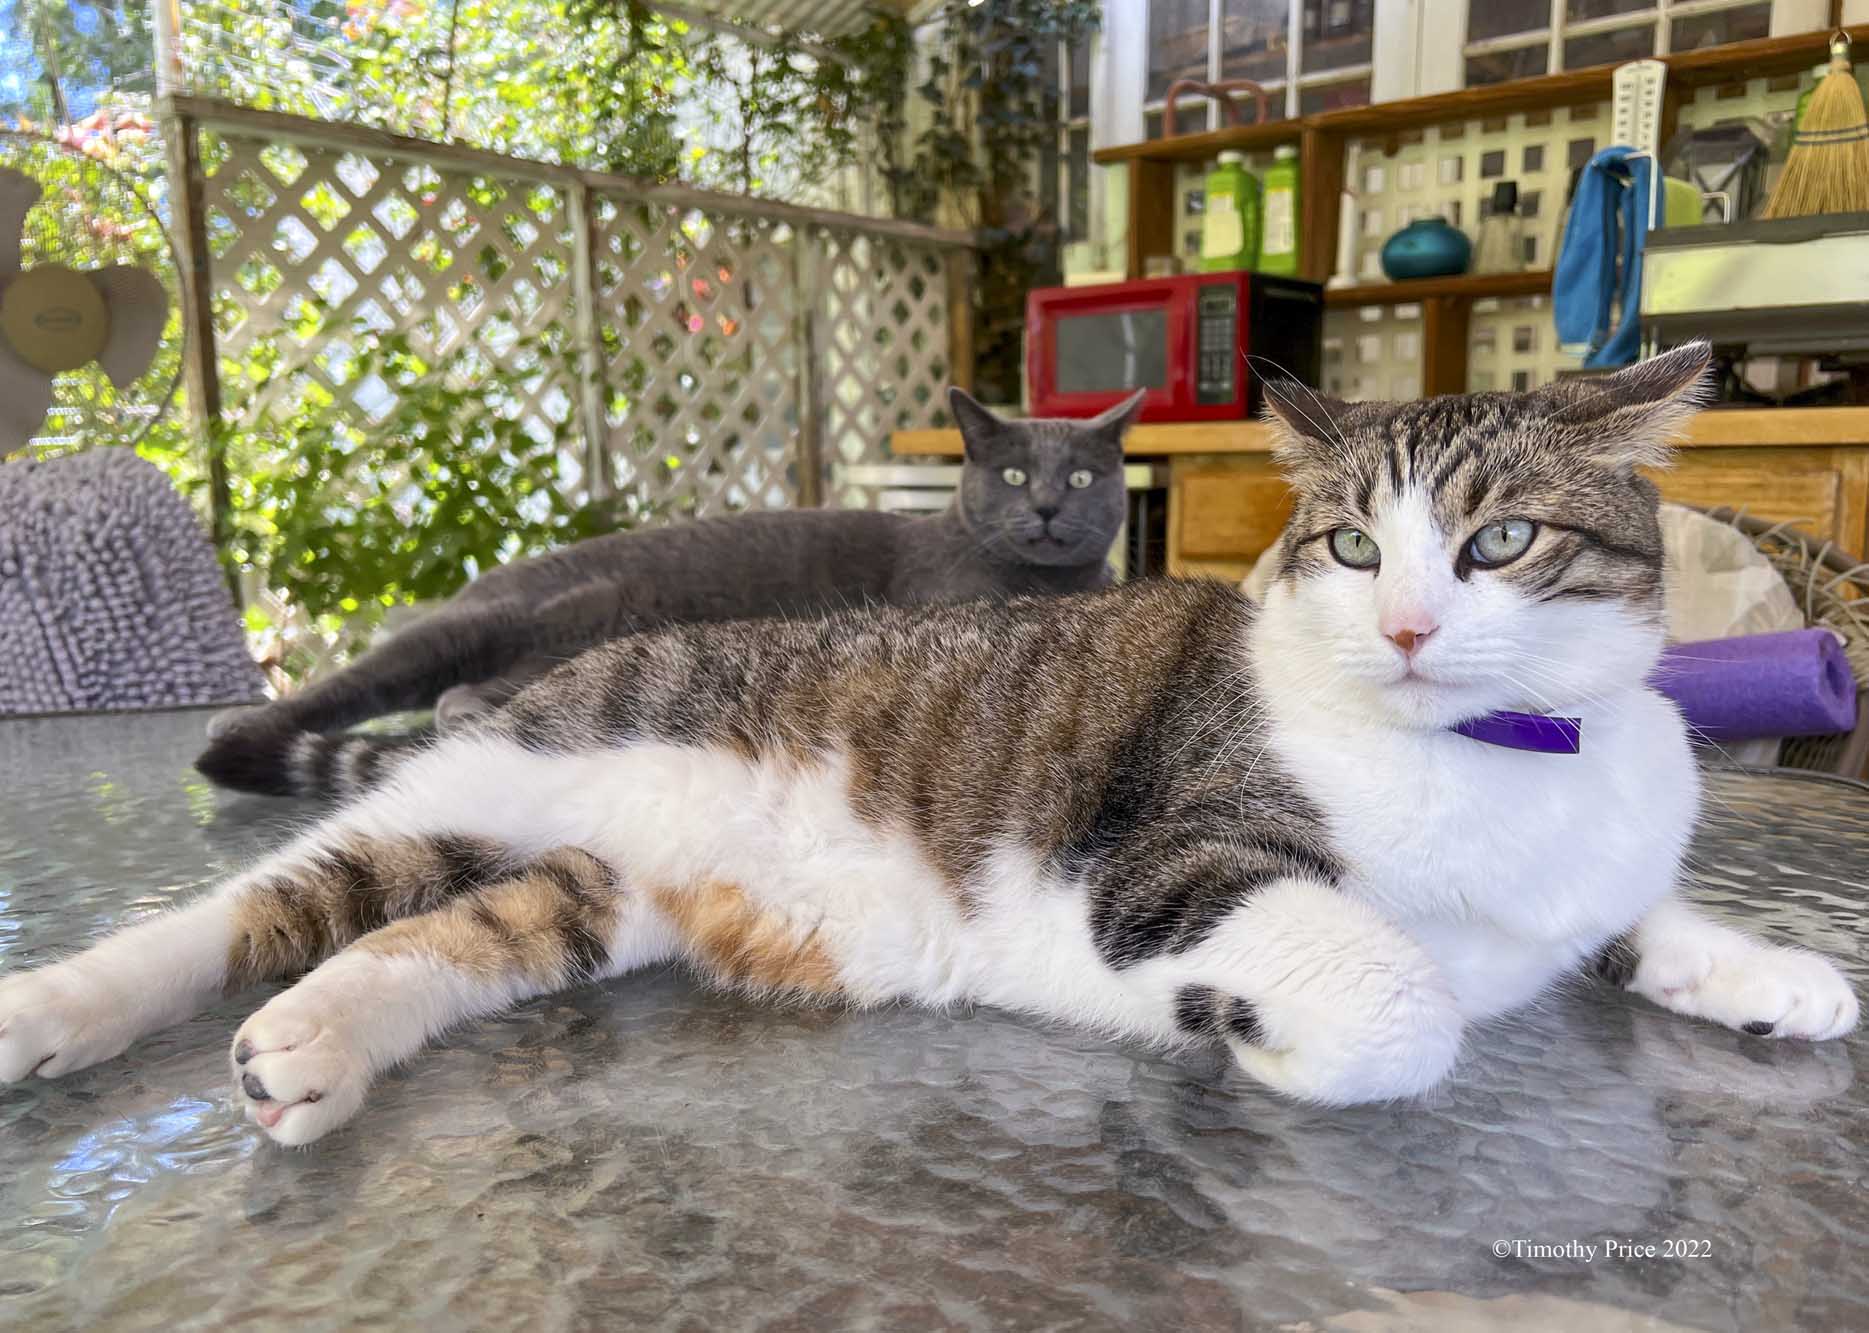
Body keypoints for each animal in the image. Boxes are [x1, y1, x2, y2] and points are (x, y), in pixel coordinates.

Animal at [196, 385, 1144, 789]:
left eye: (1083, 478)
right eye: (1015, 474)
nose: (1050, 505)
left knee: (459, 697)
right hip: (477, 627)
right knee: (370, 683)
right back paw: (234, 729)